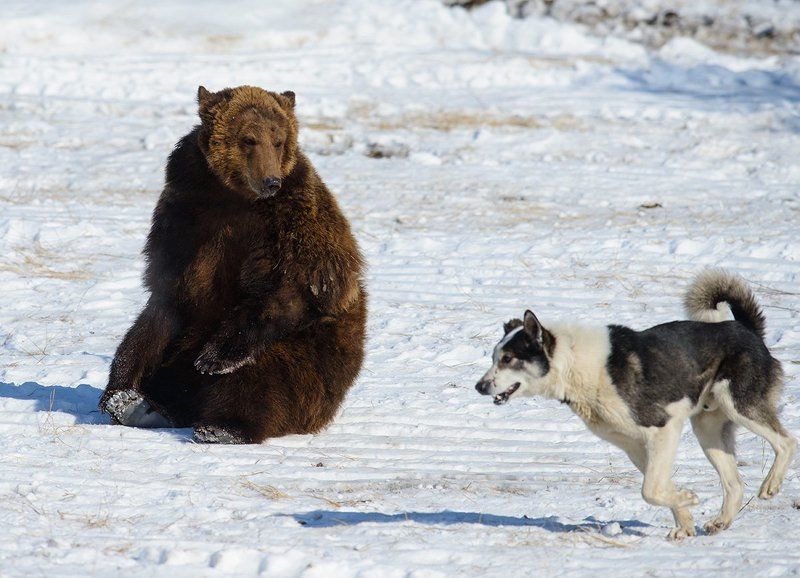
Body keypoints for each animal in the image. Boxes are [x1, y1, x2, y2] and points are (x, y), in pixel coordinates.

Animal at [99, 85, 367, 444]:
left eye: (278, 139)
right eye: (248, 139)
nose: (270, 181)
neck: (234, 197)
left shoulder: (291, 222)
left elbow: (299, 285)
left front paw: (214, 357)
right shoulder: (186, 215)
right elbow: (168, 294)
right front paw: (123, 389)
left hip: (319, 358)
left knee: (265, 373)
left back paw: (223, 425)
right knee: (146, 335)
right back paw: (130, 400)